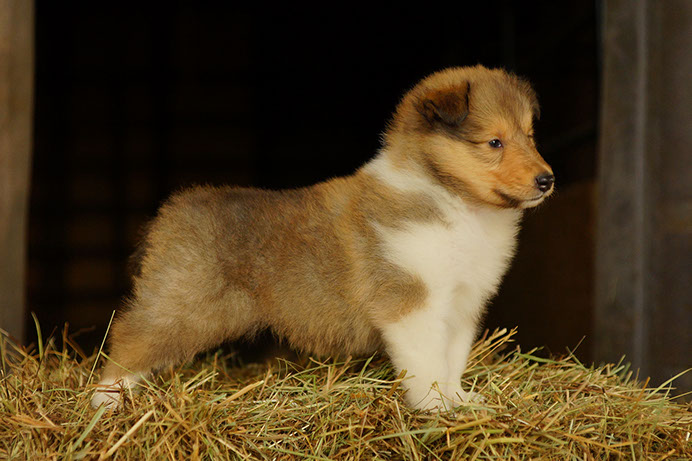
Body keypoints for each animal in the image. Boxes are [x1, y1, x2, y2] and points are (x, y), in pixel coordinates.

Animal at [91, 65, 554, 411]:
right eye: (493, 142)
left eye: (530, 136)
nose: (547, 180)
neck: (453, 199)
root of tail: (169, 212)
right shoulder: (411, 301)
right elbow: (427, 362)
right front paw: (434, 407)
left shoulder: (462, 304)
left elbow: (451, 359)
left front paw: (460, 401)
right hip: (182, 304)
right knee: (130, 337)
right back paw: (105, 401)